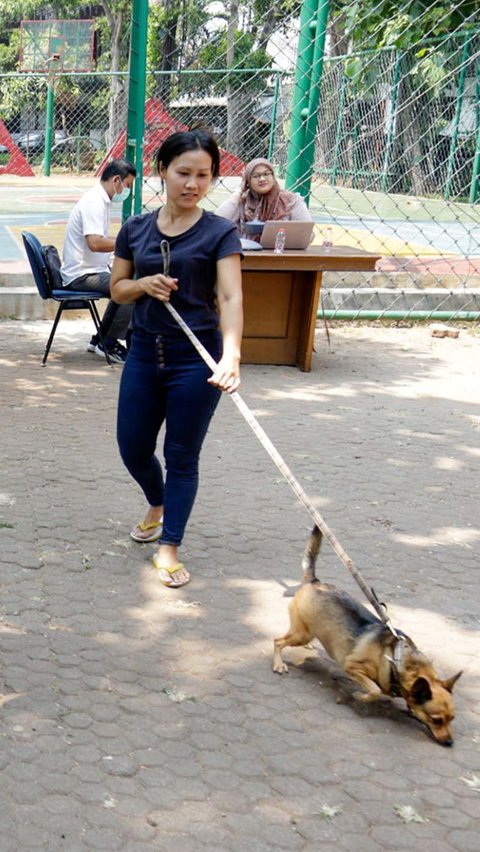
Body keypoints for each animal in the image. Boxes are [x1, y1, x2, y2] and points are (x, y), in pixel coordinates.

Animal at [274, 524, 462, 744]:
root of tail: (314, 581)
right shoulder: (353, 667)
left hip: (306, 631)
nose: (450, 743)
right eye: (436, 720)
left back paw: (308, 646)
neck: (396, 659)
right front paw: (360, 696)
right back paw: (278, 664)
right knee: (278, 641)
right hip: (299, 634)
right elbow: (376, 690)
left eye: (452, 719)